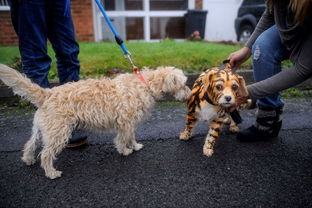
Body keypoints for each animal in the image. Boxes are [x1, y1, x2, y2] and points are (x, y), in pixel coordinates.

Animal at [0, 64, 190, 179]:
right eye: (182, 84)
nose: (189, 95)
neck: (145, 84)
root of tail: (47, 93)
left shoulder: (129, 123)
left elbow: (131, 136)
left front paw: (135, 146)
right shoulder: (126, 122)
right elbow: (123, 138)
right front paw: (125, 151)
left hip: (42, 129)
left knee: (30, 144)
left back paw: (28, 159)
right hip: (59, 132)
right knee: (46, 154)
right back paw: (51, 173)